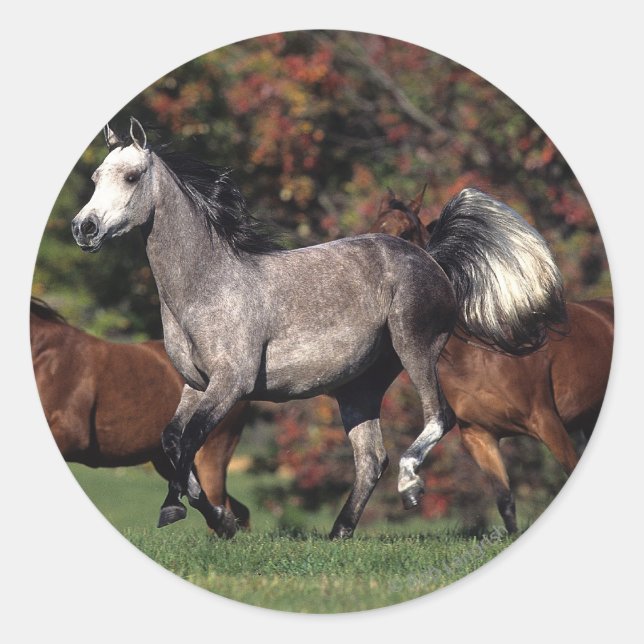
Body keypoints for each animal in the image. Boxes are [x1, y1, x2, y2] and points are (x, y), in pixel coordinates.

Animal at [71, 118, 566, 539]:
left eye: (132, 177)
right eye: (95, 177)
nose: (84, 228)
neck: (208, 285)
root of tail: (432, 259)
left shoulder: (231, 384)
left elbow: (189, 441)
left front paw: (182, 511)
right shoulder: (195, 384)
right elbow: (173, 442)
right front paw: (218, 520)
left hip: (415, 347)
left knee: (436, 418)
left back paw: (409, 488)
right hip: (358, 387)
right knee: (370, 459)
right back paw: (338, 534)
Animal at [370, 189, 614, 532]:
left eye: (405, 233)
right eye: (372, 228)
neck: (479, 355)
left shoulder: (548, 423)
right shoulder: (480, 438)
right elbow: (505, 501)